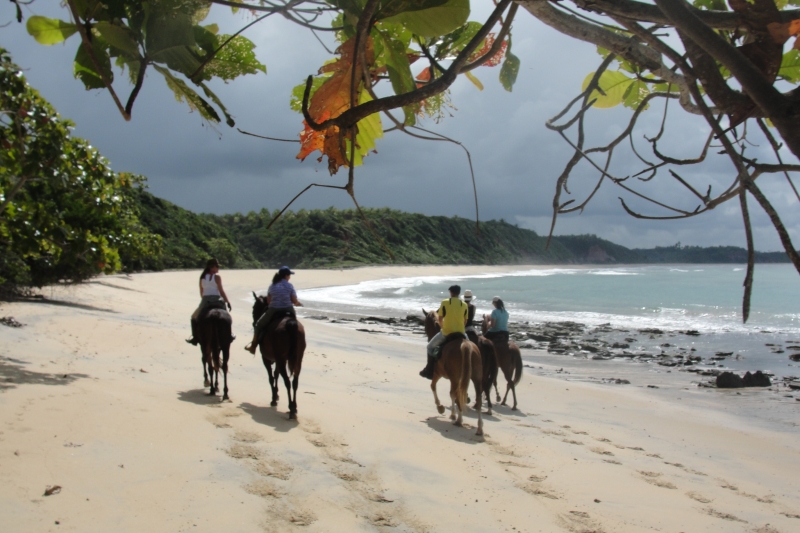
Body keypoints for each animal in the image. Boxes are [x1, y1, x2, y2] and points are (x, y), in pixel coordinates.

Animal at [253, 290, 306, 420]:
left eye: (254, 307)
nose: (254, 322)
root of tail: (290, 323)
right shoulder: (278, 360)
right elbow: (276, 375)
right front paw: (276, 395)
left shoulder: (266, 359)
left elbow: (271, 377)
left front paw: (273, 398)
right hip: (297, 360)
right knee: (295, 382)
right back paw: (294, 407)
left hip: (281, 360)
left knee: (287, 381)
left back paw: (291, 409)